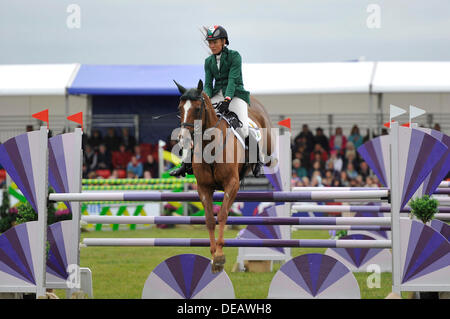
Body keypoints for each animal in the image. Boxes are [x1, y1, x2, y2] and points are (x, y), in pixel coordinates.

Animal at [175, 79, 274, 272]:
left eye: (197, 109)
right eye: (179, 109)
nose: (183, 139)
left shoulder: (232, 184)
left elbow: (222, 215)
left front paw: (220, 255)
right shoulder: (204, 188)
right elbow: (209, 220)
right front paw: (214, 256)